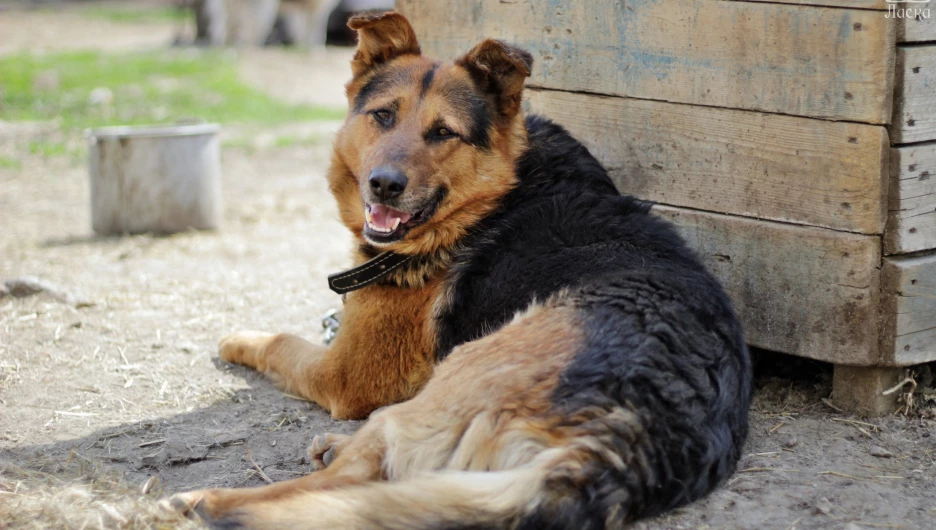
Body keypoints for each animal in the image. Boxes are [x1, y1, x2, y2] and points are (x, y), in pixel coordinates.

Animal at [166, 10, 752, 524]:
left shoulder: (345, 375)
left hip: (458, 371)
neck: (491, 197)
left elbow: (281, 341)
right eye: (383, 116)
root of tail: (627, 434)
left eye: (443, 133)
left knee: (351, 479)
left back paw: (207, 501)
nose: (384, 185)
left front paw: (238, 339)